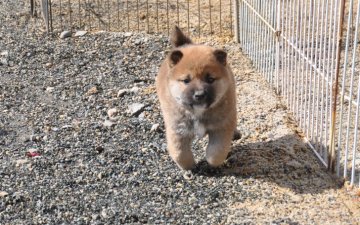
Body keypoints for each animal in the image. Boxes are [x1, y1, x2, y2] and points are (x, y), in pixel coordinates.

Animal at [156, 26, 238, 170]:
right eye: (186, 80)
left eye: (210, 79)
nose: (199, 95)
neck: (198, 112)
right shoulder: (178, 130)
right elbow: (180, 153)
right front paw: (190, 166)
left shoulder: (221, 128)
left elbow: (216, 152)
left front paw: (211, 163)